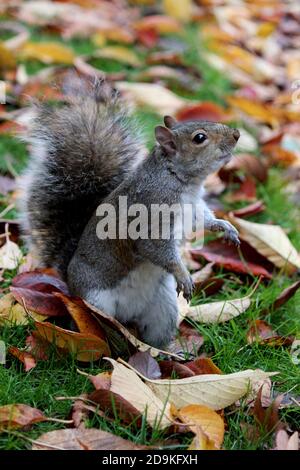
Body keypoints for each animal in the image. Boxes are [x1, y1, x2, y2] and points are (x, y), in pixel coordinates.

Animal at [19, 79, 240, 346]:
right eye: (200, 138)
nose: (237, 135)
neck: (182, 182)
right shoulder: (151, 215)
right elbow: (155, 248)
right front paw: (183, 275)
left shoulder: (194, 208)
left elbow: (204, 220)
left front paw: (225, 227)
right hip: (96, 304)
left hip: (163, 308)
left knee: (156, 334)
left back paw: (169, 351)